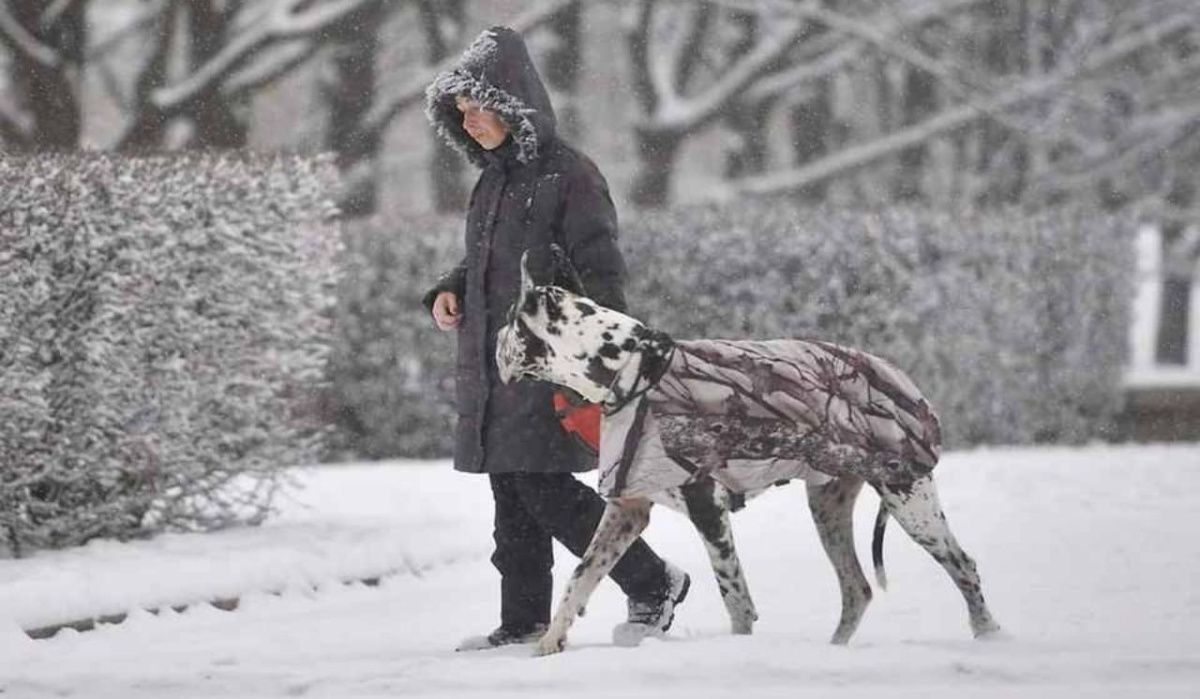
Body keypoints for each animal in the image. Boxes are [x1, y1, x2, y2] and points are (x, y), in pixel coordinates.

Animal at [492, 253, 998, 658]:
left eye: (510, 320)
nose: (493, 341)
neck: (632, 369)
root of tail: (903, 377)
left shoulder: (707, 509)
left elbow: (736, 599)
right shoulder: (626, 510)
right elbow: (580, 579)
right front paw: (548, 645)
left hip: (910, 499)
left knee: (964, 567)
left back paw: (990, 637)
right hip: (828, 508)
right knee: (857, 590)